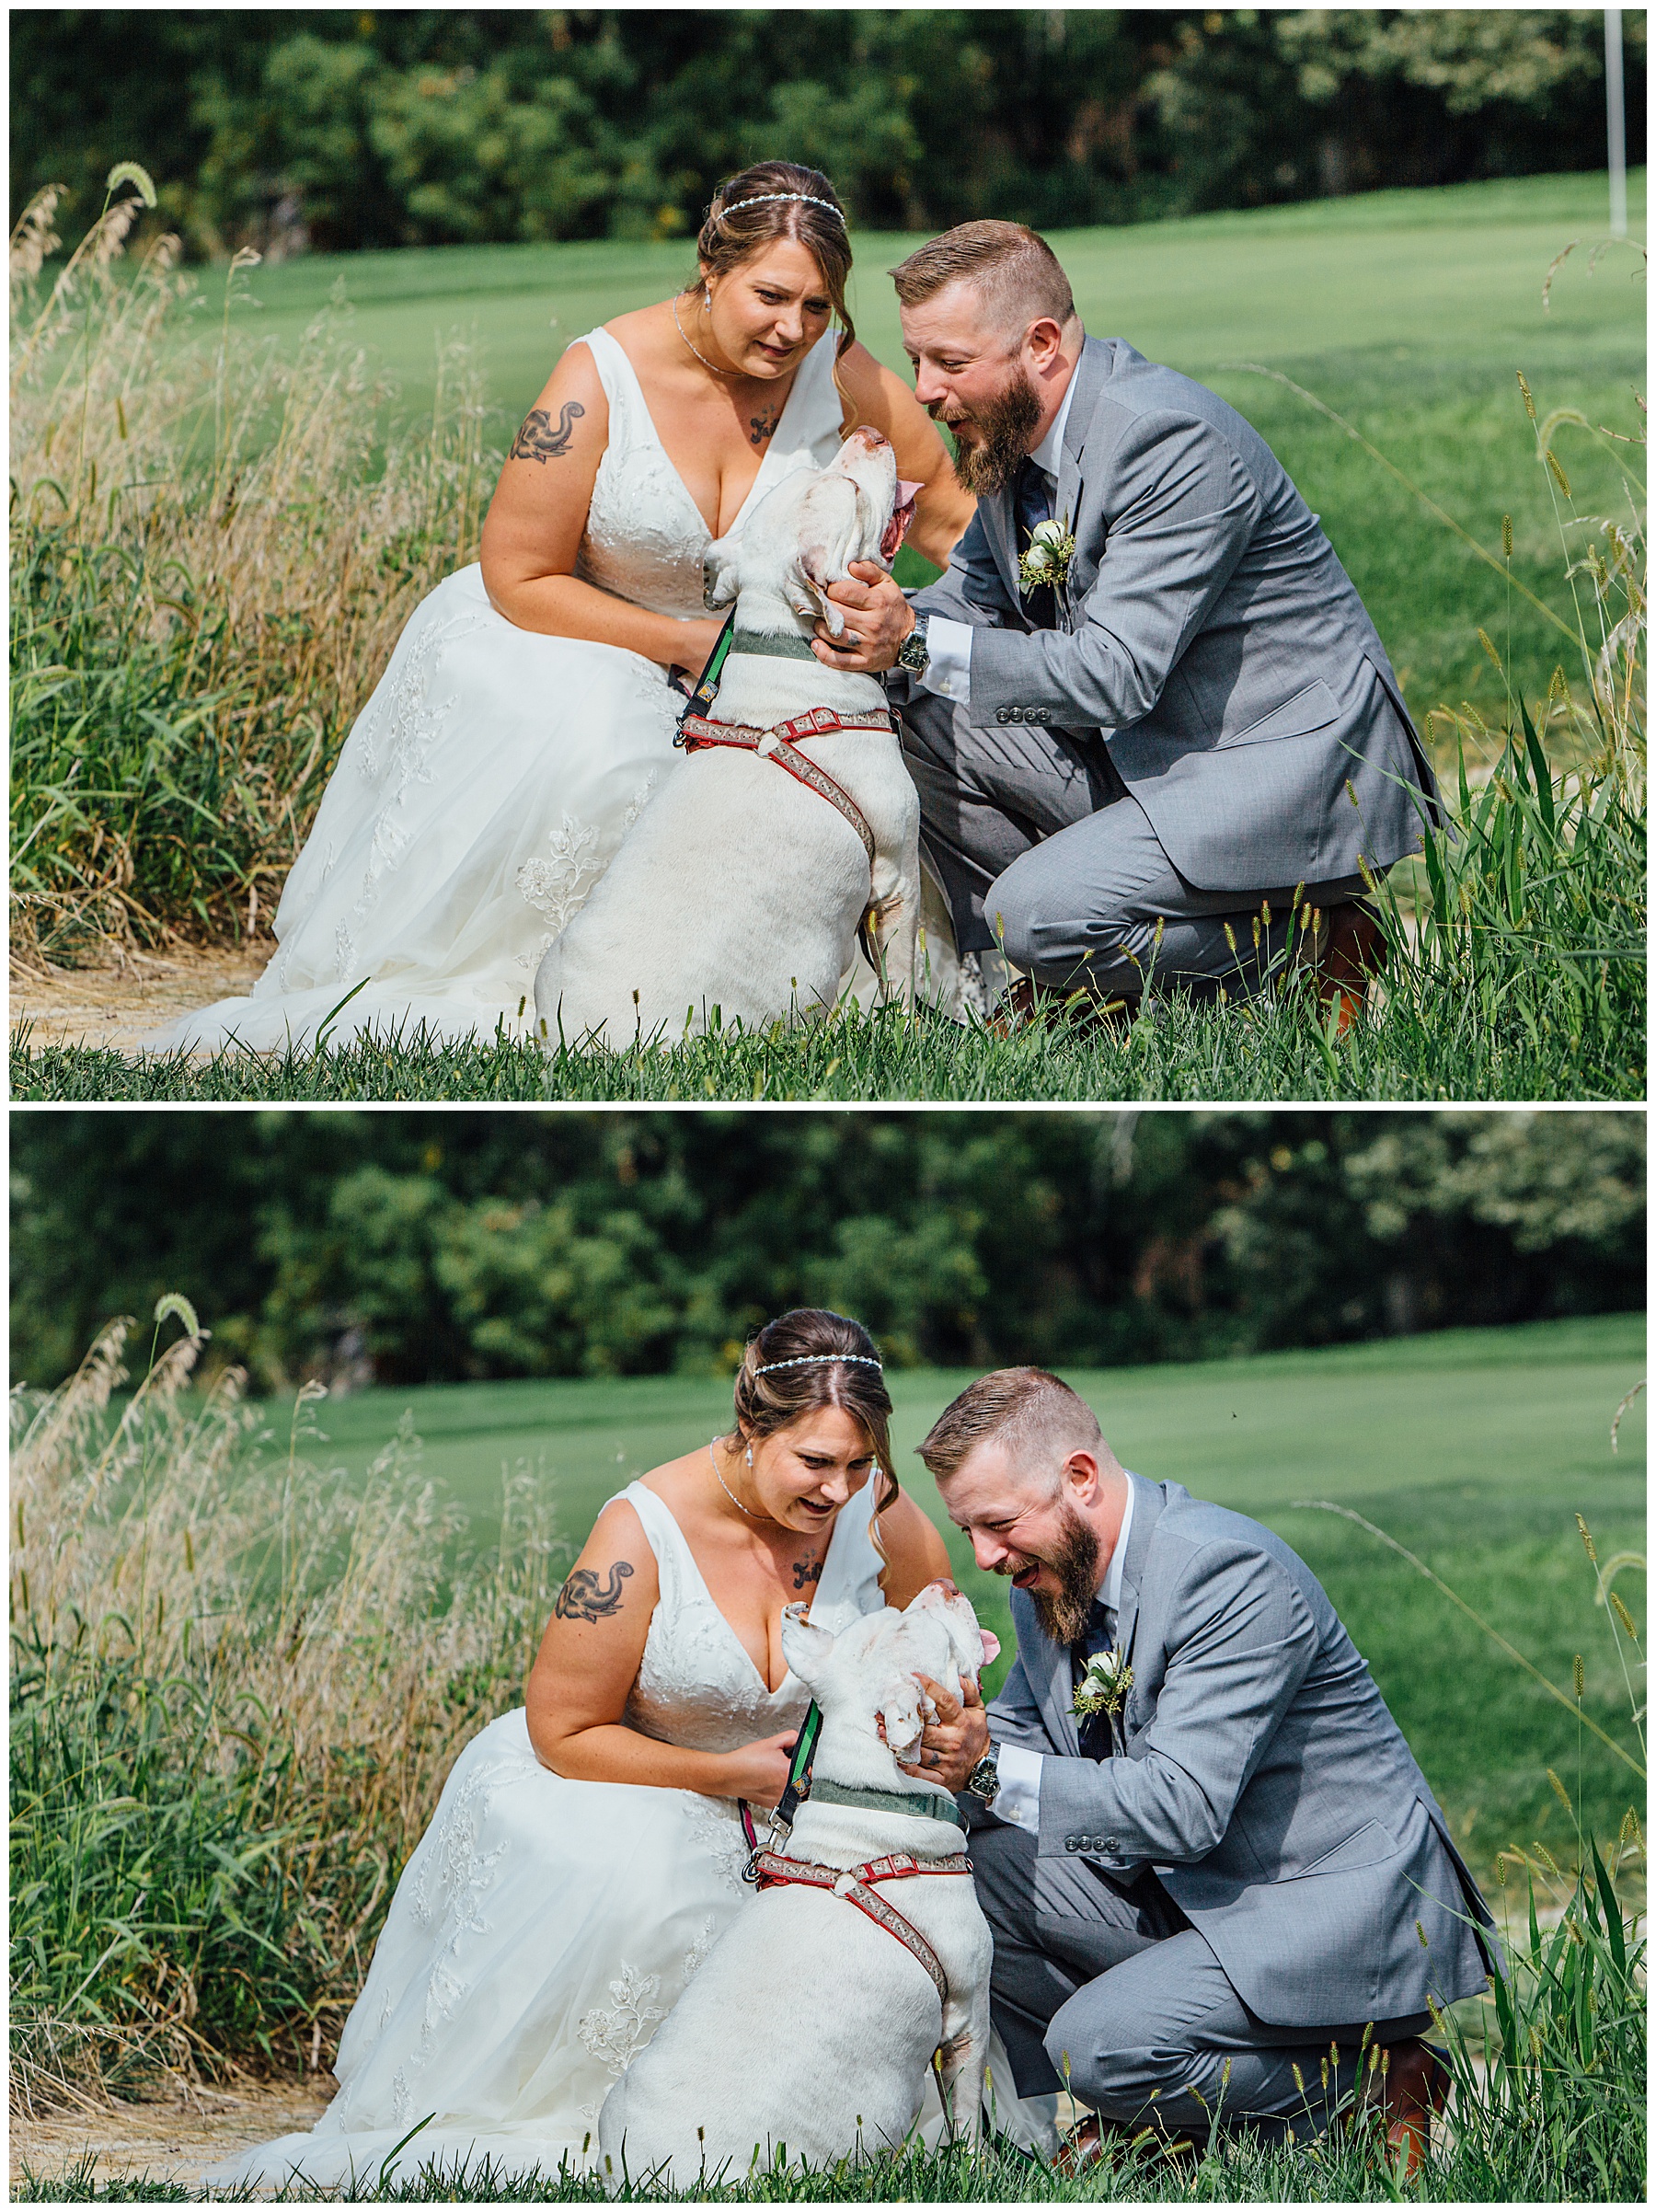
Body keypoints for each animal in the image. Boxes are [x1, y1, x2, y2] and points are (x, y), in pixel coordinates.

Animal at [530, 435, 914, 1057]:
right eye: (852, 492)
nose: (871, 435)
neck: (791, 654)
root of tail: (585, 1047)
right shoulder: (897, 876)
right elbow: (906, 982)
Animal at [592, 1584, 995, 2185]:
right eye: (936, 1636)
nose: (943, 1586)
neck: (872, 1802)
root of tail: (648, 2180)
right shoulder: (968, 2015)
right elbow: (968, 2120)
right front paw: (978, 2171)